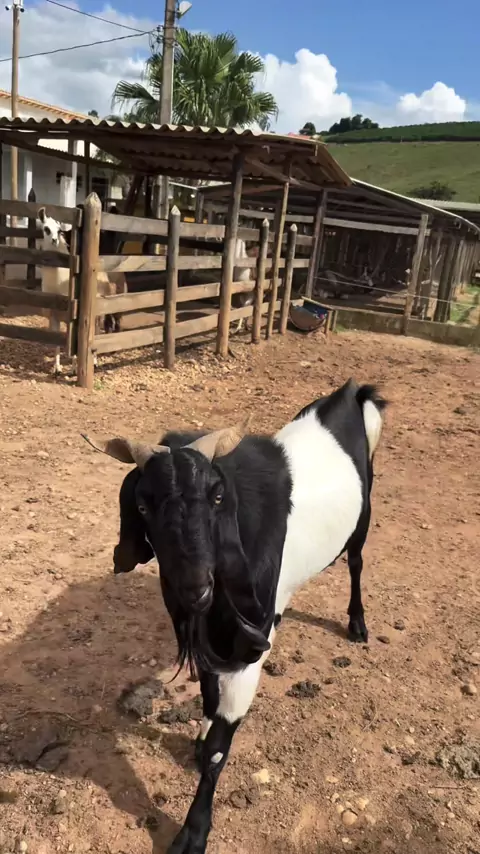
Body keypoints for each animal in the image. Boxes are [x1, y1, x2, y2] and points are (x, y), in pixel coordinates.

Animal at [38, 208, 127, 374]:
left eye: (59, 230)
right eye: (46, 229)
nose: (54, 240)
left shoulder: (74, 316)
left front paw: (74, 369)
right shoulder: (54, 315)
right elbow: (56, 342)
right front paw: (57, 368)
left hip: (115, 300)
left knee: (112, 324)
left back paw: (103, 356)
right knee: (104, 326)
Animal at [82, 378, 386, 854]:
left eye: (217, 497)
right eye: (143, 507)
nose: (195, 588)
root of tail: (351, 391)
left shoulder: (249, 646)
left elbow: (220, 747)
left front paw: (193, 833)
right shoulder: (212, 640)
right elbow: (208, 698)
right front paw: (198, 738)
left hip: (365, 511)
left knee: (355, 560)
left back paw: (357, 624)